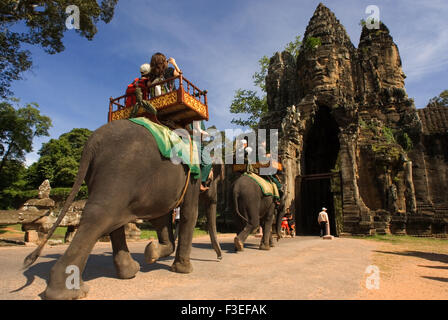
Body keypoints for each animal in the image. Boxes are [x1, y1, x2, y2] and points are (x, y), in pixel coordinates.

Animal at [23, 118, 220, 300]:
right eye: (215, 176)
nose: (219, 258)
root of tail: (91, 143)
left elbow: (162, 219)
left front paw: (151, 253)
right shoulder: (192, 178)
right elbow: (188, 213)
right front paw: (183, 269)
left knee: (111, 220)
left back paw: (129, 272)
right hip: (121, 170)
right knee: (99, 217)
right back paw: (68, 292)